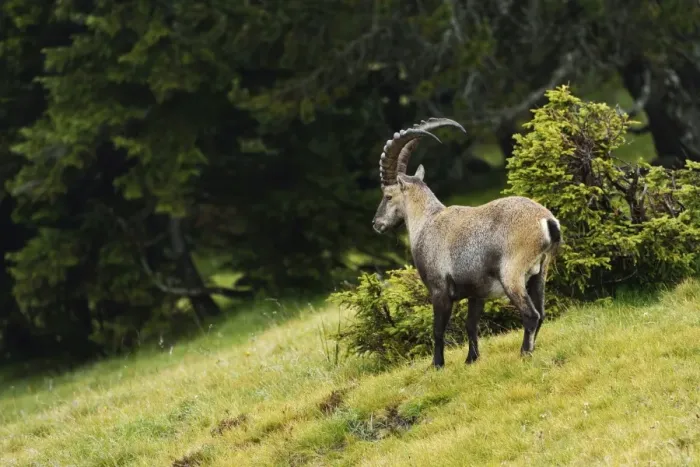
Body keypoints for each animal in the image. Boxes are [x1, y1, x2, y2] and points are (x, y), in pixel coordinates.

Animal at [372, 118, 561, 368]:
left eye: (388, 196)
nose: (376, 223)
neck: (427, 222)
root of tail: (547, 221)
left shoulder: (439, 290)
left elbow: (438, 330)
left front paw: (437, 365)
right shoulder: (476, 293)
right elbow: (471, 325)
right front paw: (471, 359)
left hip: (512, 274)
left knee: (531, 314)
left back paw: (524, 353)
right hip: (540, 273)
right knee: (541, 313)